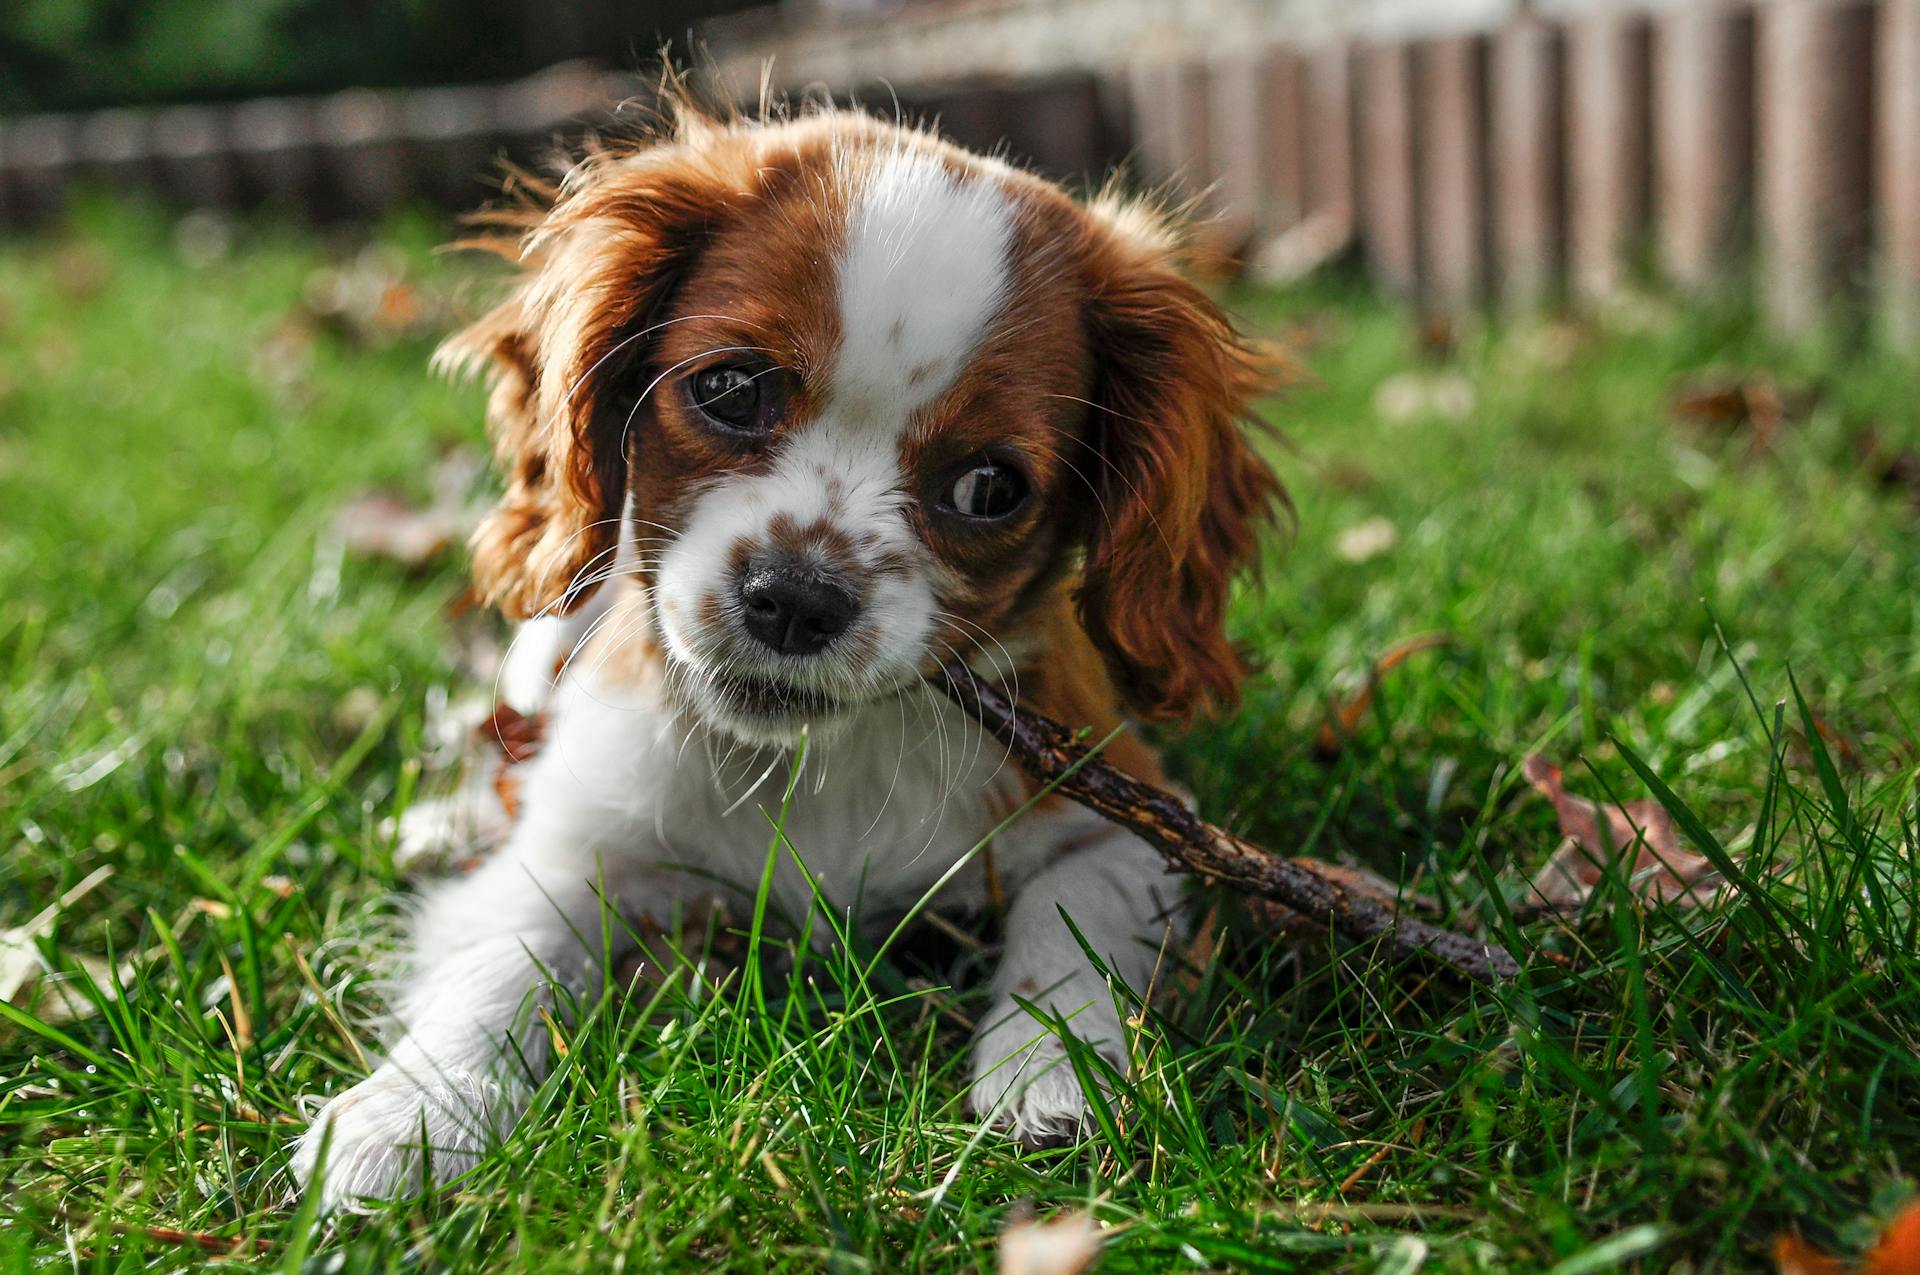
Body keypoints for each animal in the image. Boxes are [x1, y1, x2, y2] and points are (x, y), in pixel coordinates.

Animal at [291, 96, 1282, 1205]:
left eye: (990, 487)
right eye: (729, 389)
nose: (797, 600)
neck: (820, 764)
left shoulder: (1128, 817)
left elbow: (1070, 921)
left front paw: (1051, 1070)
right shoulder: (582, 842)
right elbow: (502, 952)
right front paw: (413, 1113)